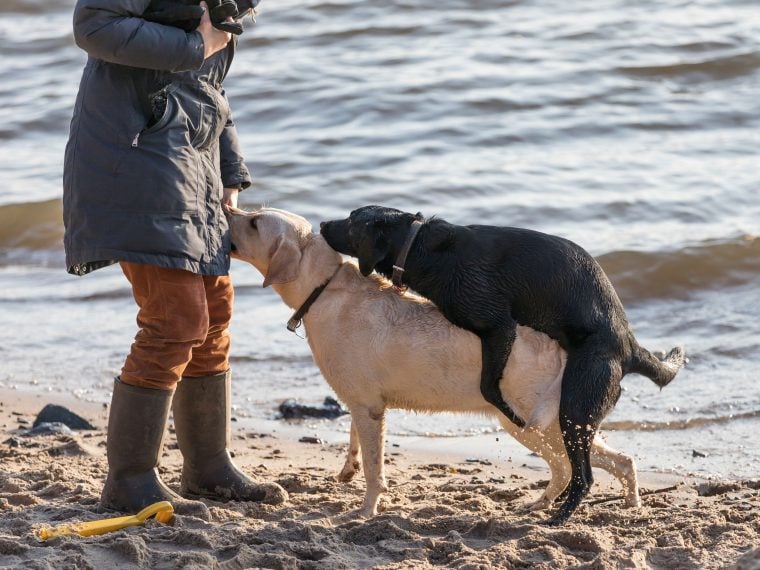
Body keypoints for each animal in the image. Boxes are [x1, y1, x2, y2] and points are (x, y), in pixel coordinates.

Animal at [318, 205, 684, 524]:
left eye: (351, 221)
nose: (321, 224)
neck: (420, 244)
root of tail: (629, 347)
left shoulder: (498, 325)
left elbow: (488, 386)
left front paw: (506, 408)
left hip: (576, 407)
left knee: (583, 476)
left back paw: (560, 517)